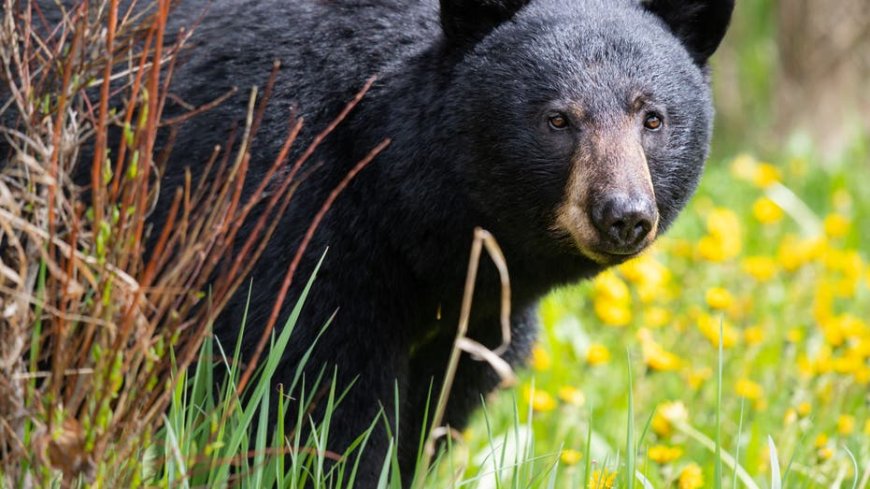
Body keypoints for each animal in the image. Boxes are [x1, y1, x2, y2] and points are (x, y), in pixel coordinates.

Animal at [77, 0, 736, 485]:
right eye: (557, 119)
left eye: (652, 117)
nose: (623, 214)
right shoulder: (289, 221)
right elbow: (315, 402)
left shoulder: (478, 320)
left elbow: (433, 413)